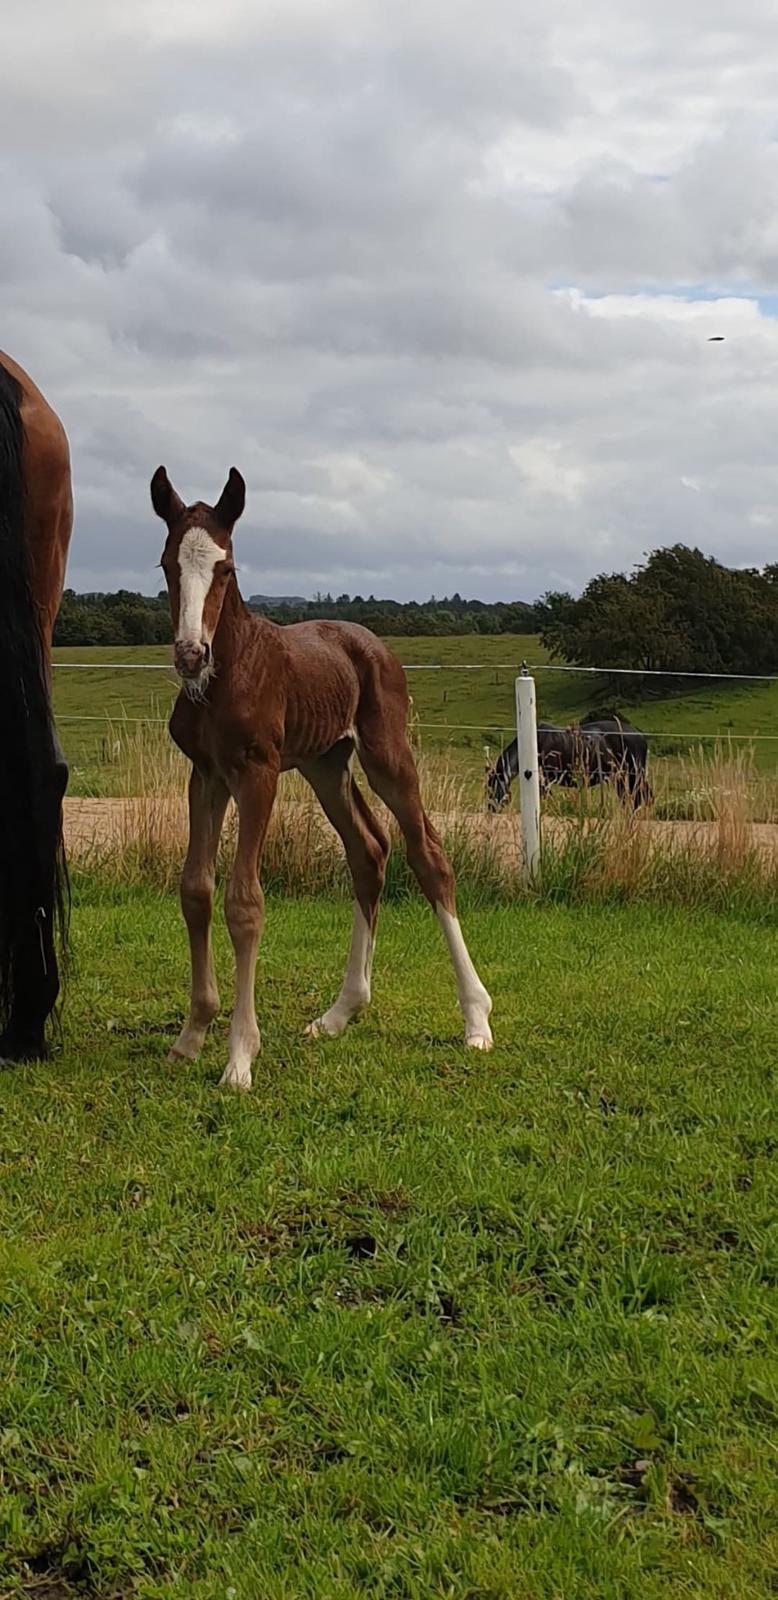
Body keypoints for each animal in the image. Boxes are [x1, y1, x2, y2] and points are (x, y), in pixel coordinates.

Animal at [152, 464, 493, 1088]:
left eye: (226, 568)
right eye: (168, 564)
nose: (190, 654)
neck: (226, 671)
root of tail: (373, 643)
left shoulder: (258, 774)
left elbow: (244, 903)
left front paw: (240, 1055)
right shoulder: (206, 775)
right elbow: (196, 890)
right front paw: (191, 1035)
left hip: (387, 757)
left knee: (428, 855)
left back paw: (475, 1019)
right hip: (325, 766)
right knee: (369, 851)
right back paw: (341, 1012)